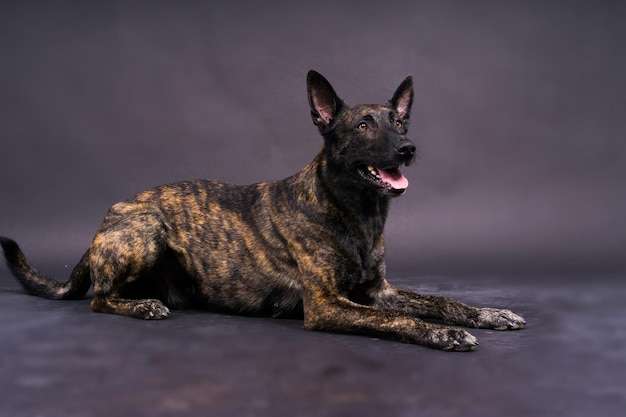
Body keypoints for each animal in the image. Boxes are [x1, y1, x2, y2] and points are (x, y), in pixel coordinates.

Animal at [0, 70, 524, 350]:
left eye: (399, 122)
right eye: (362, 126)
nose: (408, 149)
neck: (356, 212)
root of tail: (101, 226)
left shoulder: (380, 290)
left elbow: (441, 301)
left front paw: (488, 313)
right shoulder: (327, 305)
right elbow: (401, 321)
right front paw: (444, 336)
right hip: (145, 229)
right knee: (98, 298)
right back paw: (141, 305)